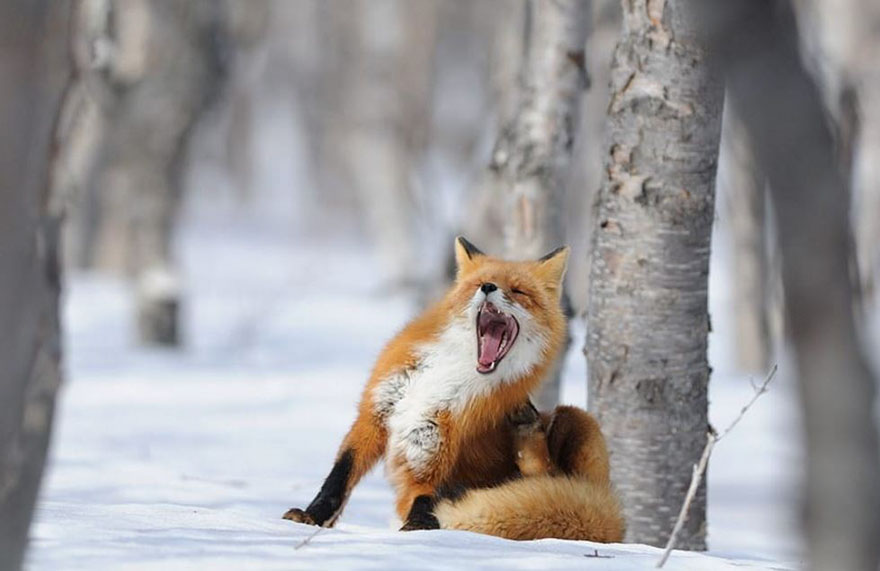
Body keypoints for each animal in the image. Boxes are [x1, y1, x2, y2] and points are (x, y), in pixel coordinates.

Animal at [283, 237, 624, 542]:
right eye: (480, 284)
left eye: (518, 290)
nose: (489, 288)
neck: (453, 367)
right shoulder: (376, 412)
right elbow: (339, 477)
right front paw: (311, 516)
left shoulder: (436, 436)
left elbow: (423, 494)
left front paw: (419, 527)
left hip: (579, 419)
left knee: (549, 477)